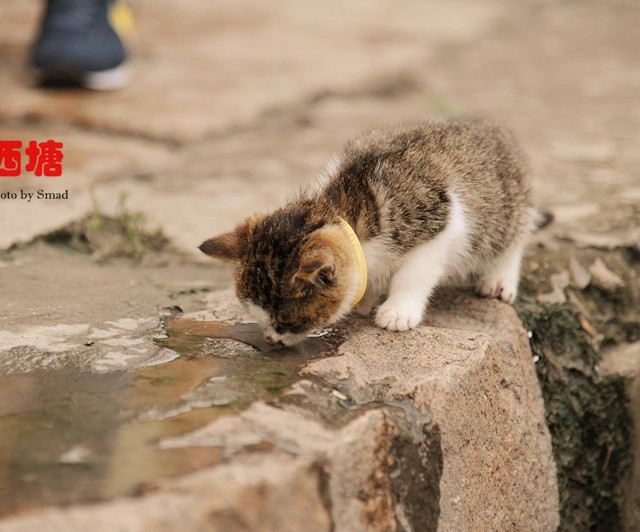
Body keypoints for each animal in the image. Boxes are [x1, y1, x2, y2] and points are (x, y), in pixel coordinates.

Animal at [201, 118, 536, 348]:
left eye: (286, 321)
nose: (272, 339)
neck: (346, 208)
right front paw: (366, 298)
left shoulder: (440, 224)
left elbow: (415, 273)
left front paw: (398, 311)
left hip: (503, 205)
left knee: (514, 235)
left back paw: (499, 279)